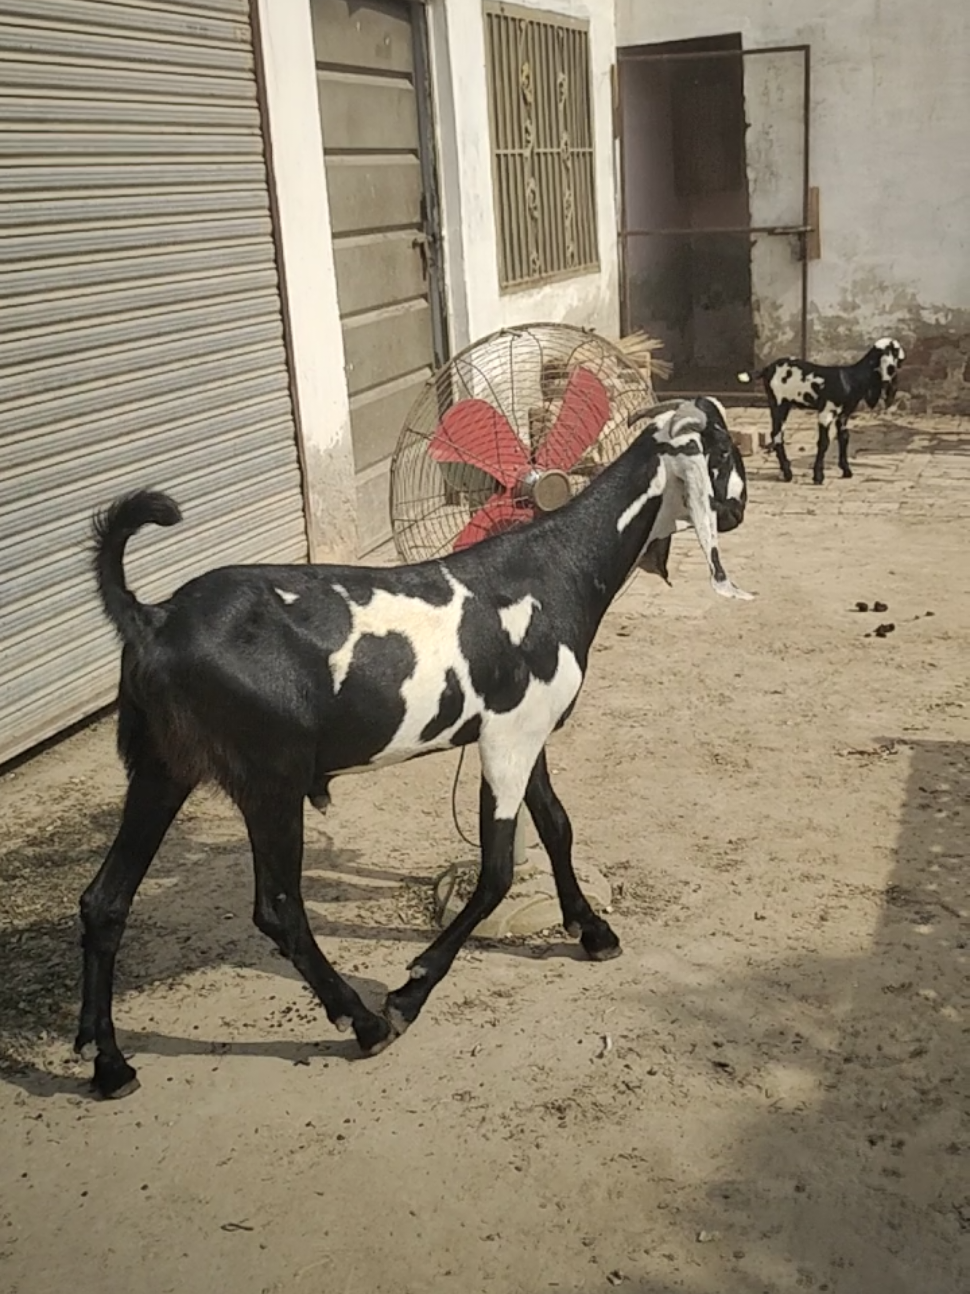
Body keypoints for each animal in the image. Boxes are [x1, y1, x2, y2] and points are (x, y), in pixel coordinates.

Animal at [77, 397, 753, 1098]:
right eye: (723, 451)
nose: (736, 510)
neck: (558, 567)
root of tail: (153, 620)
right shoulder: (508, 741)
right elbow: (497, 872)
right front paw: (412, 990)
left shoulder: (526, 728)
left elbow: (557, 826)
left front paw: (592, 931)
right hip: (270, 779)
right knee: (278, 909)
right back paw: (366, 1023)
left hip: (162, 767)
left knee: (105, 900)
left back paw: (109, 1063)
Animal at [737, 338, 905, 484]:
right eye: (895, 349)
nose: (904, 357)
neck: (852, 378)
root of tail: (767, 369)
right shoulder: (826, 413)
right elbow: (824, 442)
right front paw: (818, 476)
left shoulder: (843, 416)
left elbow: (844, 438)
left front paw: (846, 470)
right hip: (779, 404)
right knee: (777, 435)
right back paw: (787, 473)